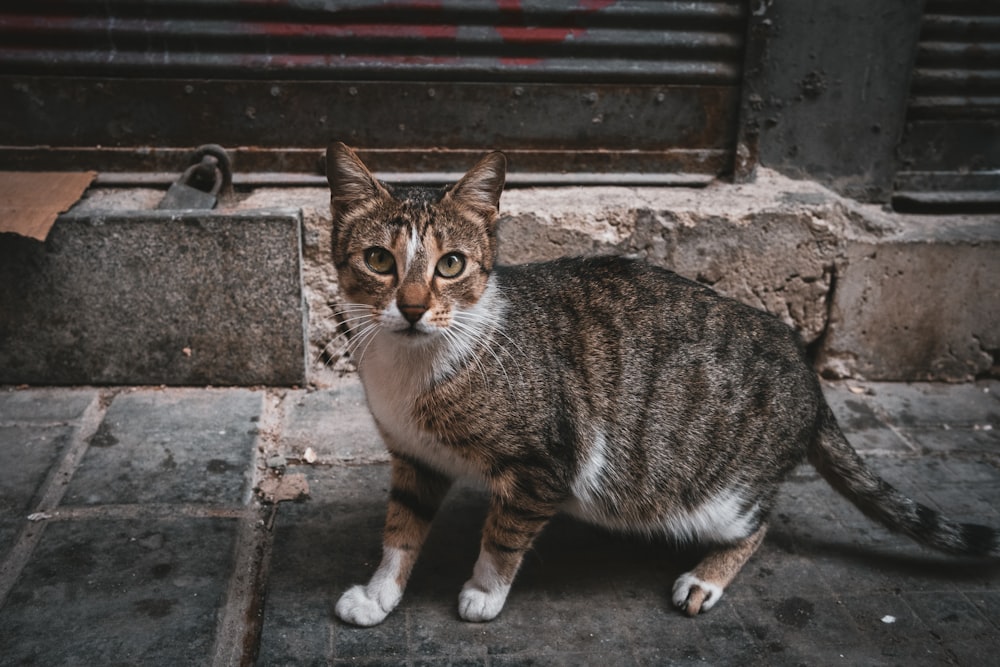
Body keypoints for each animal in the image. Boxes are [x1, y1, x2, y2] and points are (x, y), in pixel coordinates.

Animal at [324, 141, 996, 628]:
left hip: (720, 496)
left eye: (451, 265)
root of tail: (808, 371)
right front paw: (379, 594)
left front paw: (483, 592)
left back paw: (706, 578)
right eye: (379, 260)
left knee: (759, 522)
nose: (412, 308)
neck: (411, 366)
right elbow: (401, 529)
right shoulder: (413, 457)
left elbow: (504, 533)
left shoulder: (544, 465)